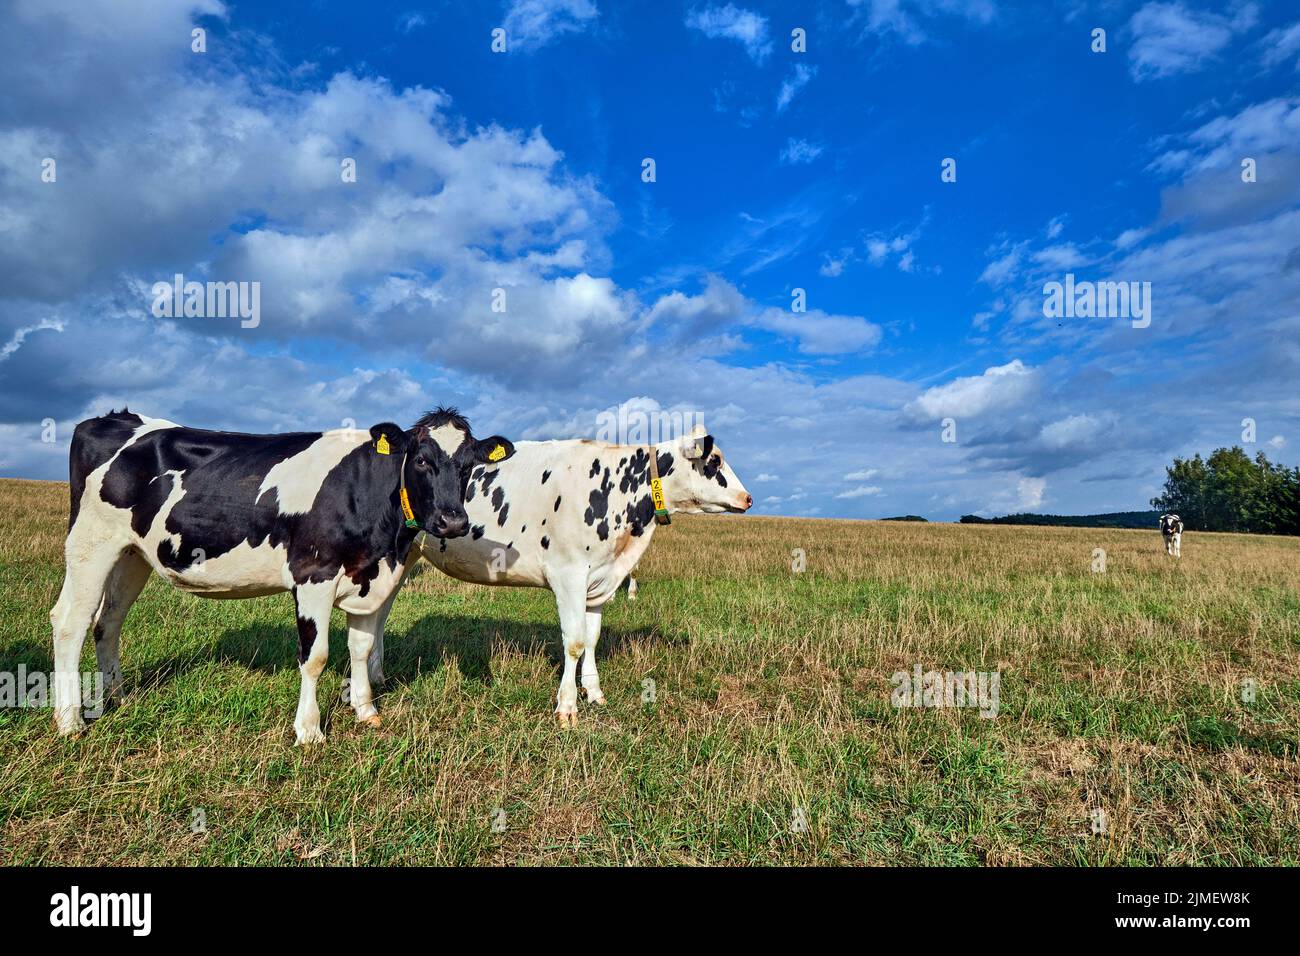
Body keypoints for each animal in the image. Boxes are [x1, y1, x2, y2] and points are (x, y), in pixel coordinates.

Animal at [50, 408, 517, 743]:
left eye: (468, 467)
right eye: (421, 460)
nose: (453, 521)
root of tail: (115, 417)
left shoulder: (371, 577)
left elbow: (362, 648)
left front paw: (365, 710)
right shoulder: (314, 574)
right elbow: (316, 656)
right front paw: (309, 730)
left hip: (132, 554)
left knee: (108, 621)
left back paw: (116, 696)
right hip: (90, 543)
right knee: (70, 621)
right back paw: (70, 720)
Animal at [345, 426, 754, 723]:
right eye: (715, 461)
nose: (748, 498)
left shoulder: (599, 580)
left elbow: (592, 639)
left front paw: (595, 692)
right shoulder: (569, 575)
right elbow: (573, 641)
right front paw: (567, 707)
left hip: (403, 557)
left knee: (379, 614)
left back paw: (376, 676)